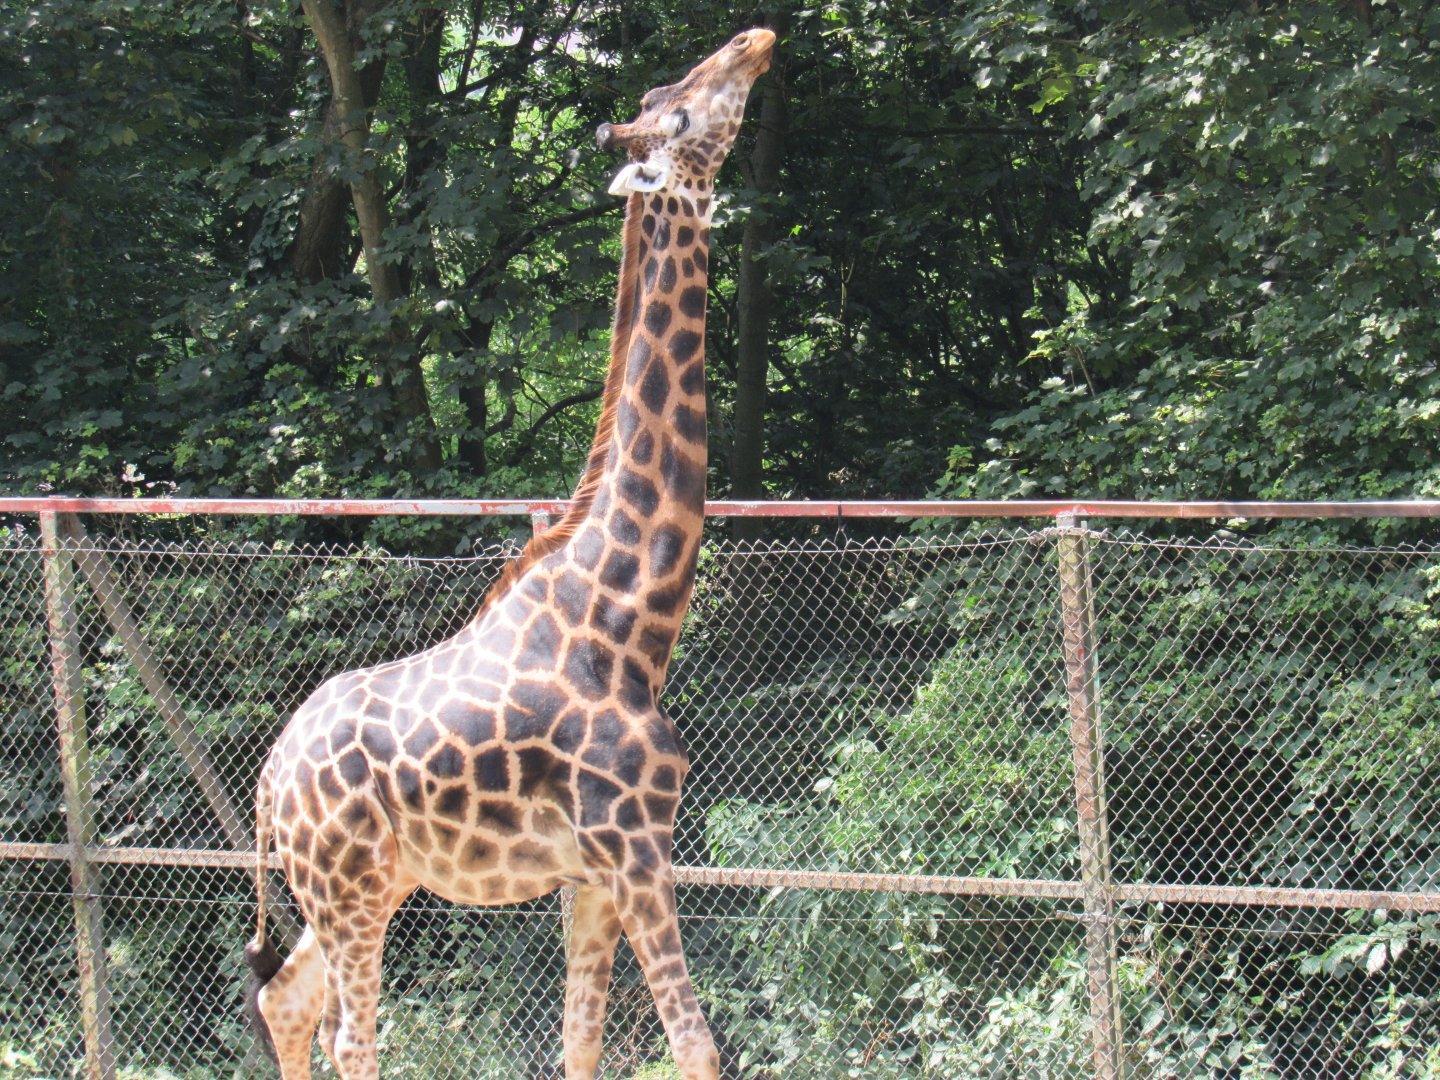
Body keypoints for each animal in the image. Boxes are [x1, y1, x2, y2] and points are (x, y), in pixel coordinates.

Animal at [244, 27, 776, 1080]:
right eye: (678, 108)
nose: (754, 40)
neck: (628, 625)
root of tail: (268, 783)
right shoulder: (633, 844)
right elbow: (695, 1046)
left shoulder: (594, 873)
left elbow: (582, 1045)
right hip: (350, 884)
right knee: (350, 1036)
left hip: (368, 883)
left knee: (284, 1000)